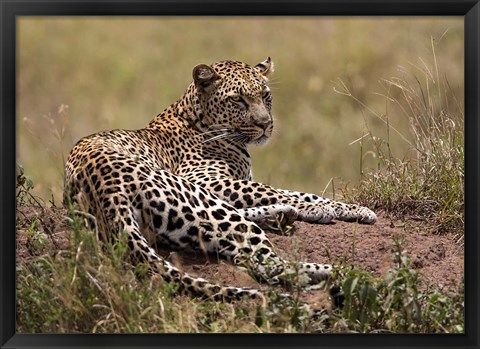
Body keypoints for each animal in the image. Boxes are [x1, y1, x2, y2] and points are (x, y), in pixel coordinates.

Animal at [63, 57, 376, 304]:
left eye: (266, 96)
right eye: (238, 99)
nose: (266, 124)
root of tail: (106, 188)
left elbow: (291, 191)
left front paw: (353, 209)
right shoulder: (208, 179)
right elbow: (276, 190)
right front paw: (327, 208)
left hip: (185, 221)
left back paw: (282, 217)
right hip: (192, 194)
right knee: (268, 264)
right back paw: (345, 272)